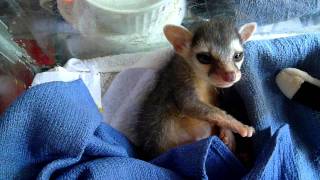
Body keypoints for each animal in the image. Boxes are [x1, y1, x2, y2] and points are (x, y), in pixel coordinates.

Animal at [136, 18, 256, 159]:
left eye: (238, 55)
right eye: (204, 57)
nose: (230, 76)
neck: (203, 81)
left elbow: (216, 107)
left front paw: (228, 134)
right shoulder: (179, 79)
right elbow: (193, 106)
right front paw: (239, 126)